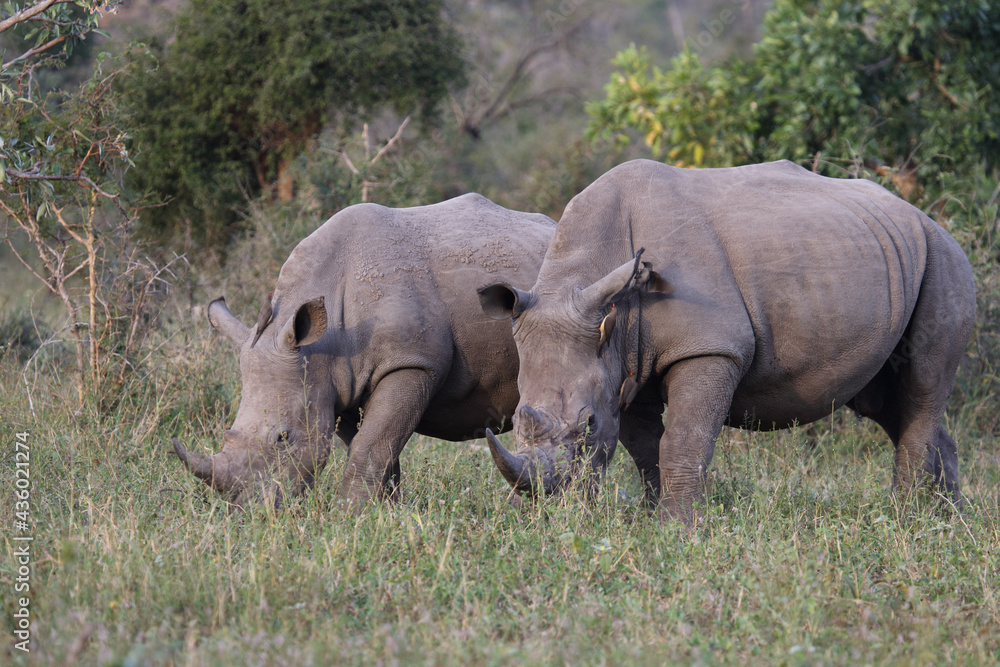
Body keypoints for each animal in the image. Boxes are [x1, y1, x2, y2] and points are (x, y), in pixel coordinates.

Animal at [173, 194, 555, 506]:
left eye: (283, 438)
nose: (249, 510)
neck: (322, 344)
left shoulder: (412, 364)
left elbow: (370, 445)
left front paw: (350, 514)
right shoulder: (337, 383)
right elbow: (376, 446)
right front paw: (385, 511)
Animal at [478, 159, 976, 522]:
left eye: (588, 426)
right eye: (516, 420)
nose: (555, 506)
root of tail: (928, 218)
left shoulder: (709, 347)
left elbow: (684, 439)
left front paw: (679, 528)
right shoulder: (625, 359)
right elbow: (645, 447)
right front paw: (653, 518)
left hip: (944, 259)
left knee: (923, 384)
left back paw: (905, 518)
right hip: (885, 257)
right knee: (888, 401)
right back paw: (948, 520)